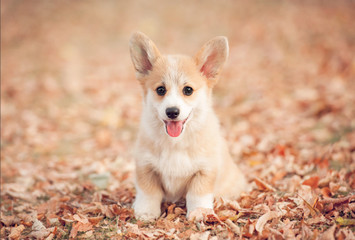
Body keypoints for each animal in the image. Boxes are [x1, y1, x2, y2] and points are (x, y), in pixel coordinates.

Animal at [129, 31, 248, 221]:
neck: (175, 142)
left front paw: (199, 212)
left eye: (188, 90)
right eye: (161, 90)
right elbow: (149, 192)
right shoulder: (145, 167)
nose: (172, 112)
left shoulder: (204, 171)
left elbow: (197, 194)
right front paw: (146, 212)